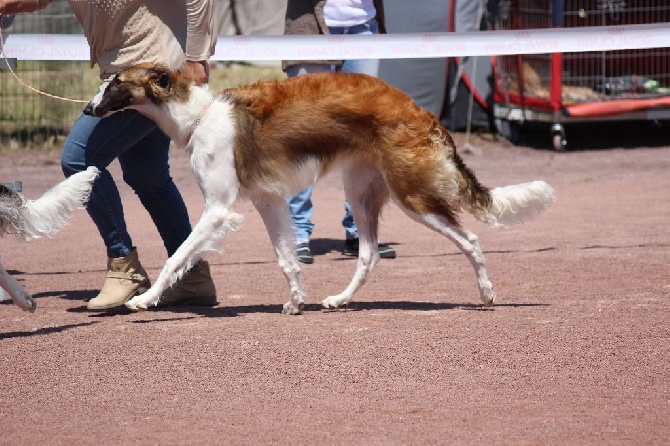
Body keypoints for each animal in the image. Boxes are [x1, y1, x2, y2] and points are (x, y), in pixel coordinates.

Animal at [84, 64, 556, 316]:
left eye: (116, 83)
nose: (87, 109)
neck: (200, 116)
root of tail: (420, 111)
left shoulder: (219, 208)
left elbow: (176, 256)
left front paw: (145, 299)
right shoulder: (269, 200)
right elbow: (287, 259)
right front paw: (295, 301)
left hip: (412, 196)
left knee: (471, 238)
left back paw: (486, 294)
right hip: (362, 192)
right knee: (368, 255)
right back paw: (340, 299)